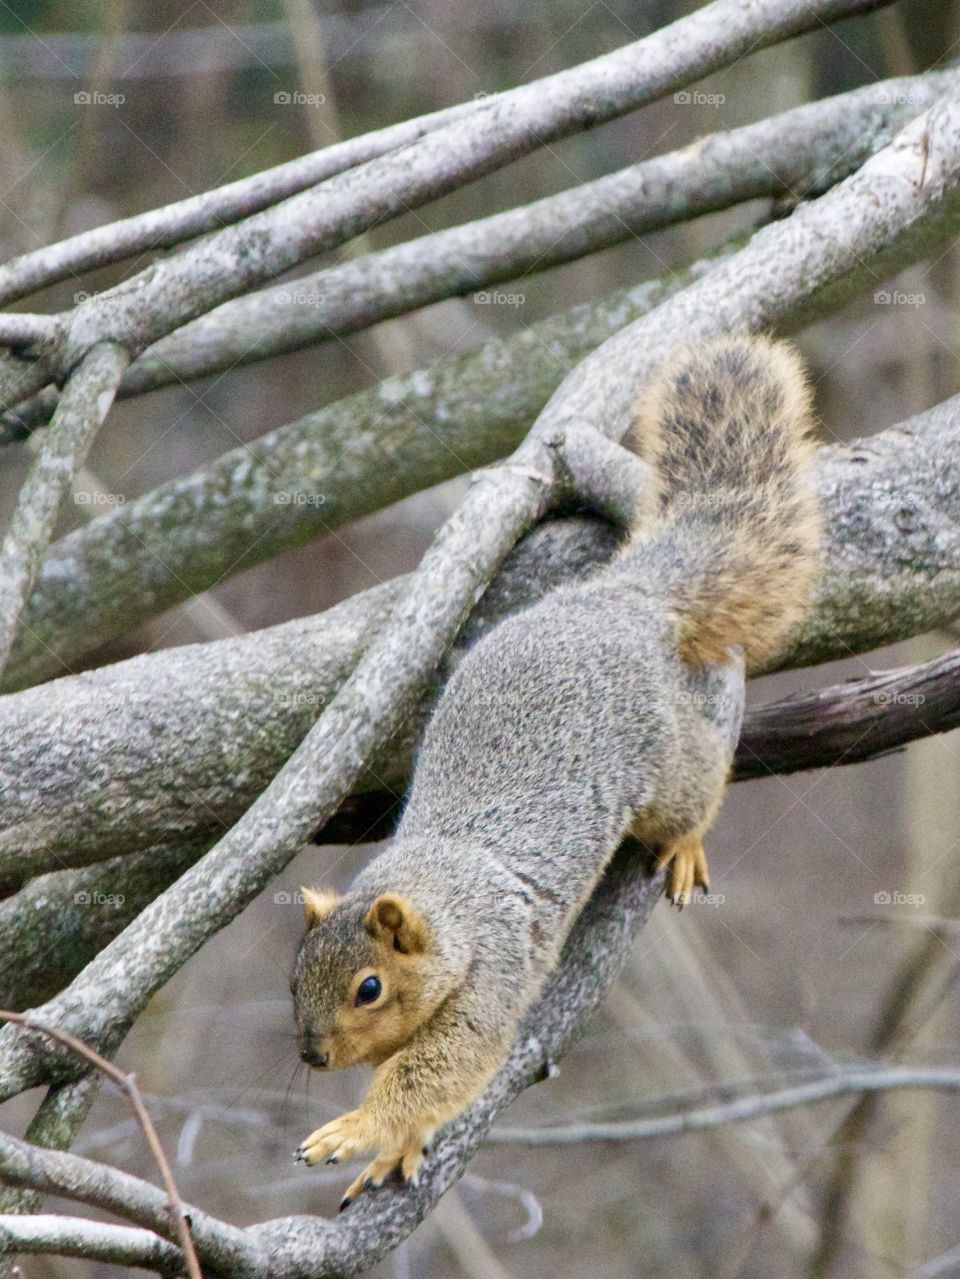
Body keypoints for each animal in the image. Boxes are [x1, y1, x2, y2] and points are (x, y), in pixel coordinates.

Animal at [288, 332, 823, 1207]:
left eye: (370, 987)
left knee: (691, 790)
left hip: (662, 760)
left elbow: (444, 1067)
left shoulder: (493, 976)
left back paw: (685, 844)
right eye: (294, 974)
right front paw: (393, 1148)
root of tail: (619, 597)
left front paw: (357, 1127)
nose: (312, 1056)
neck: (445, 899)